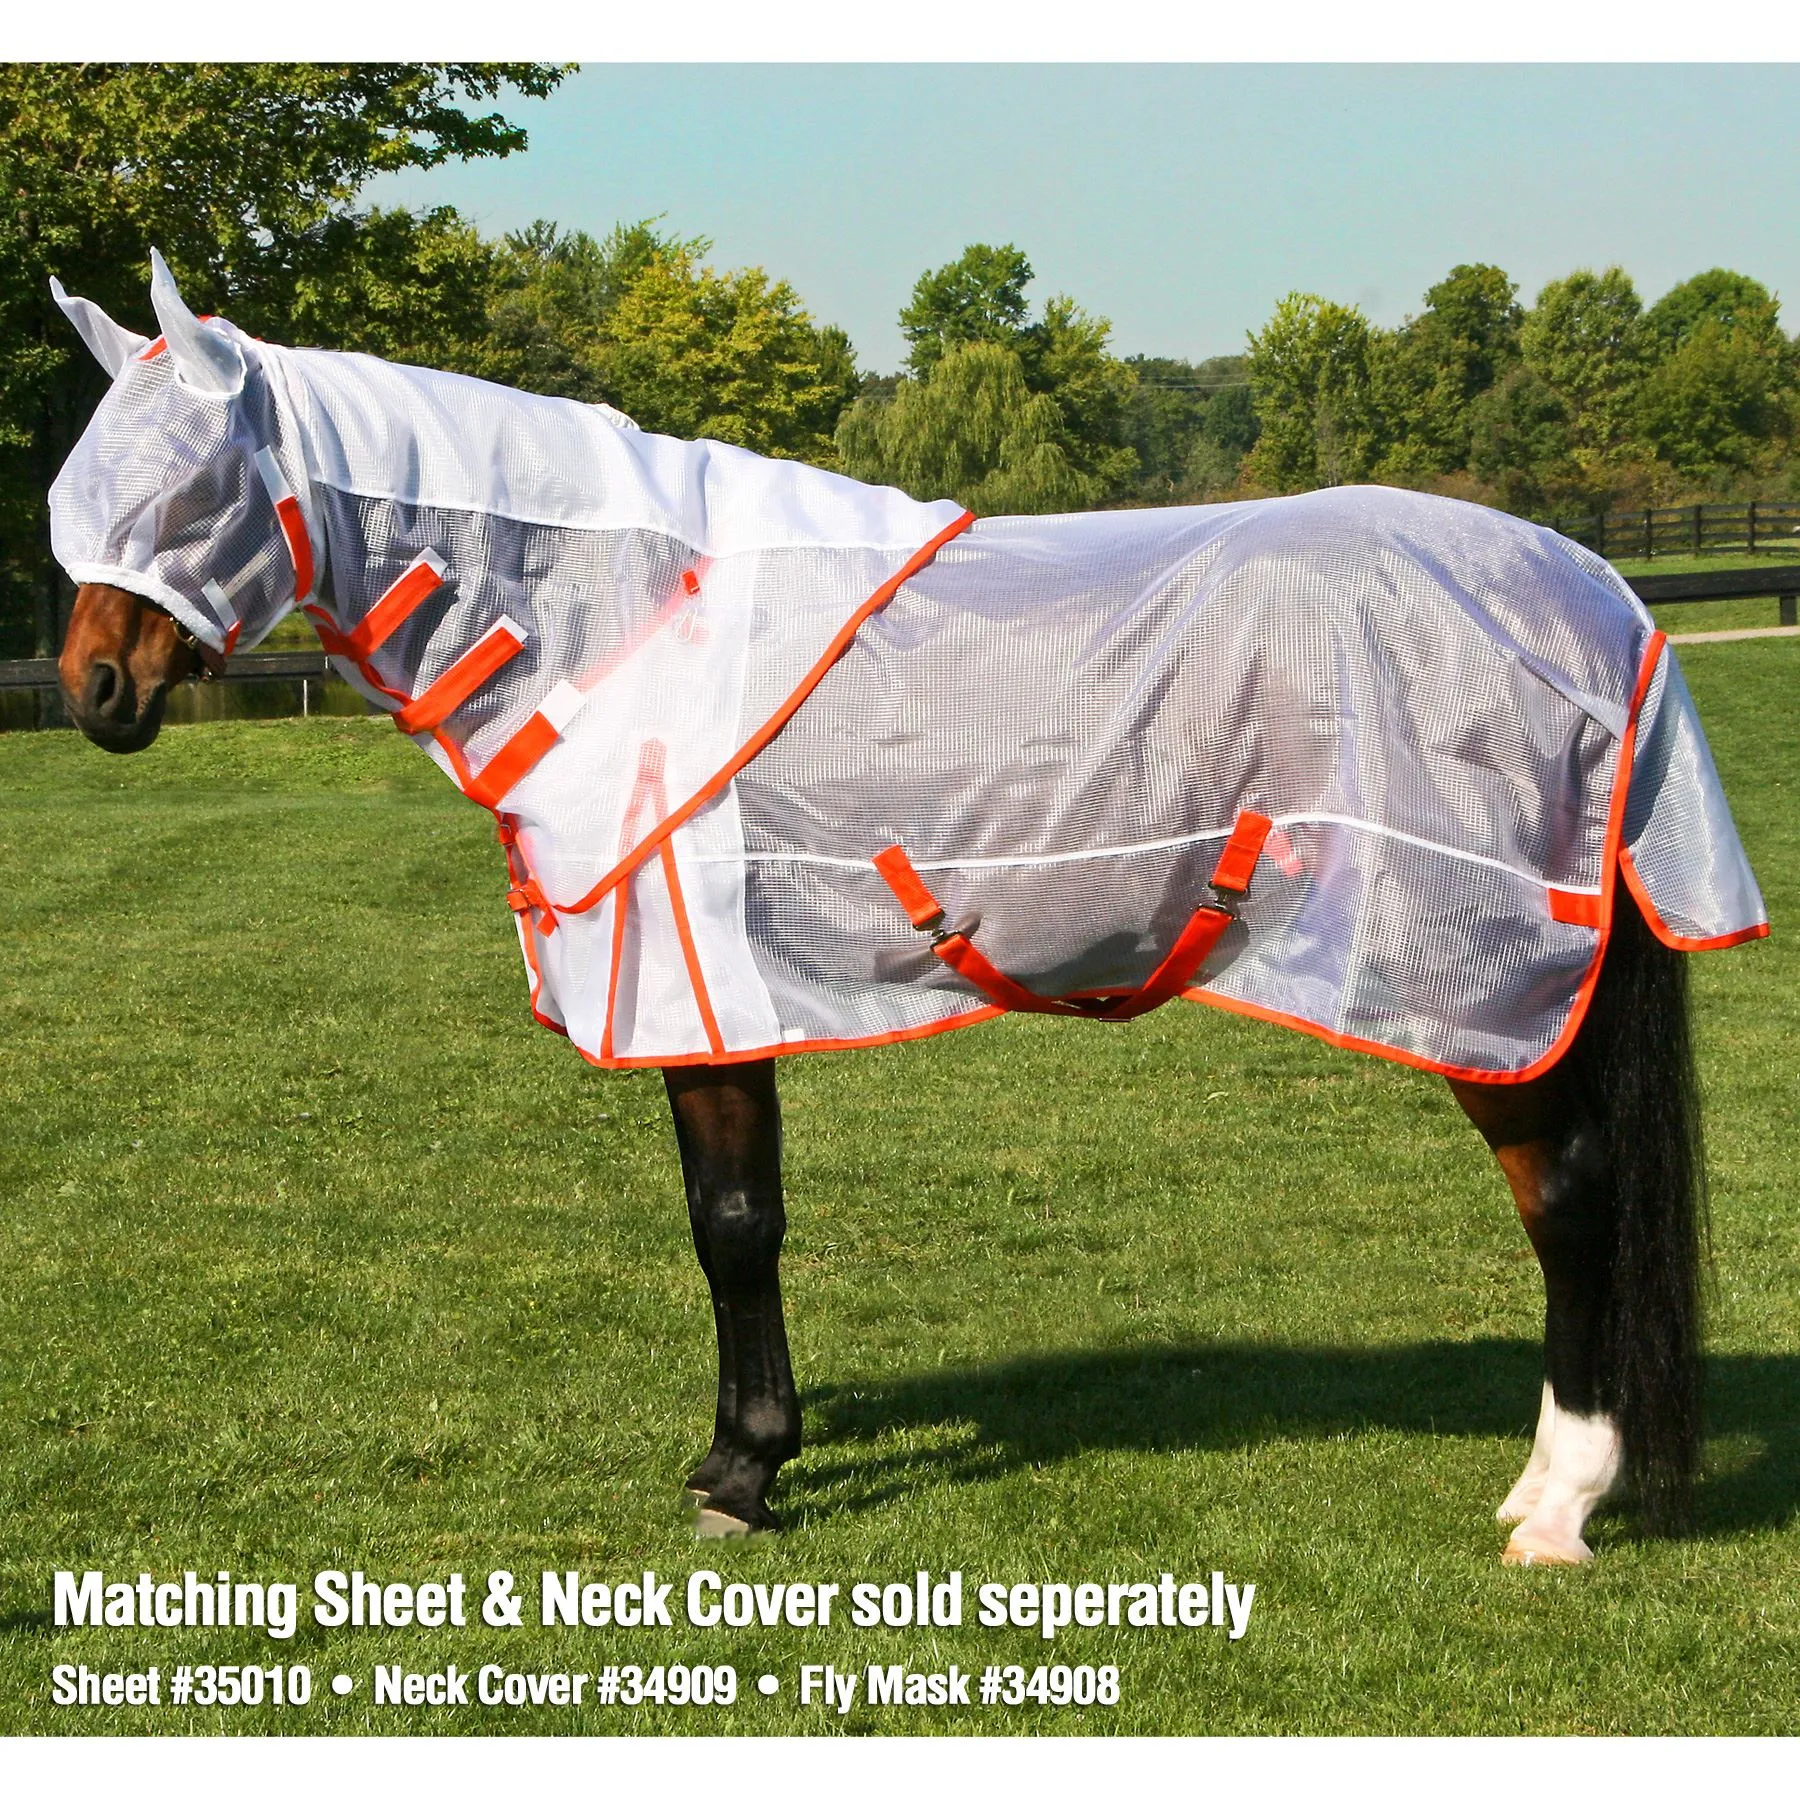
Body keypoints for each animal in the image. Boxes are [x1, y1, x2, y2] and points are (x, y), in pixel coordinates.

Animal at [46, 254, 1768, 1563]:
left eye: (191, 492)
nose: (93, 693)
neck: (620, 618)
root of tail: (1602, 596)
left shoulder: (703, 994)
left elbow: (734, 1228)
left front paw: (746, 1475)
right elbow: (730, 1220)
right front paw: (741, 1456)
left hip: (1479, 996)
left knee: (1573, 1206)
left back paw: (1556, 1507)